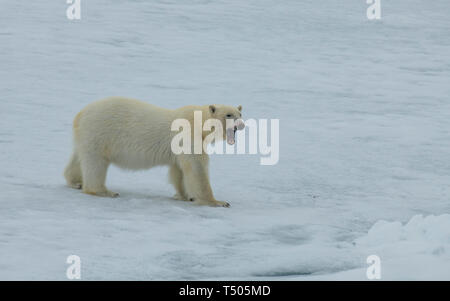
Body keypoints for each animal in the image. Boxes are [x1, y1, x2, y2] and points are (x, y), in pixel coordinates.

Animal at [64, 96, 243, 206]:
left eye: (240, 113)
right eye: (229, 115)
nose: (241, 124)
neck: (199, 122)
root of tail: (79, 115)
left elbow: (179, 170)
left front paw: (185, 196)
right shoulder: (188, 135)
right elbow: (197, 168)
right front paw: (218, 202)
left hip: (87, 136)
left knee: (79, 158)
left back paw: (76, 182)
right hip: (100, 132)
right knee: (96, 163)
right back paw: (104, 191)